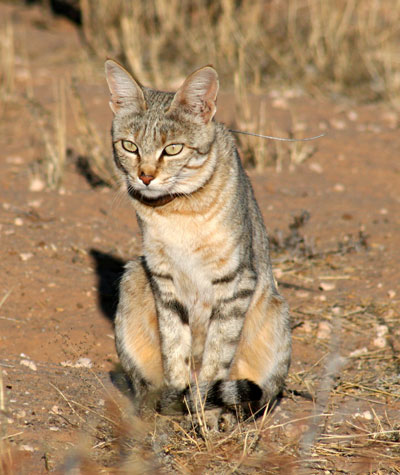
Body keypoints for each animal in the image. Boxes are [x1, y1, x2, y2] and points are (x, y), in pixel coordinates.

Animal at [104, 59, 290, 416]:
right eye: (130, 146)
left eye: (173, 149)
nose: (144, 176)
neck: (177, 212)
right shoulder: (162, 277)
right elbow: (174, 345)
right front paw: (180, 398)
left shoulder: (235, 281)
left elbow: (217, 356)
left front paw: (205, 410)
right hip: (134, 276)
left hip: (275, 314)